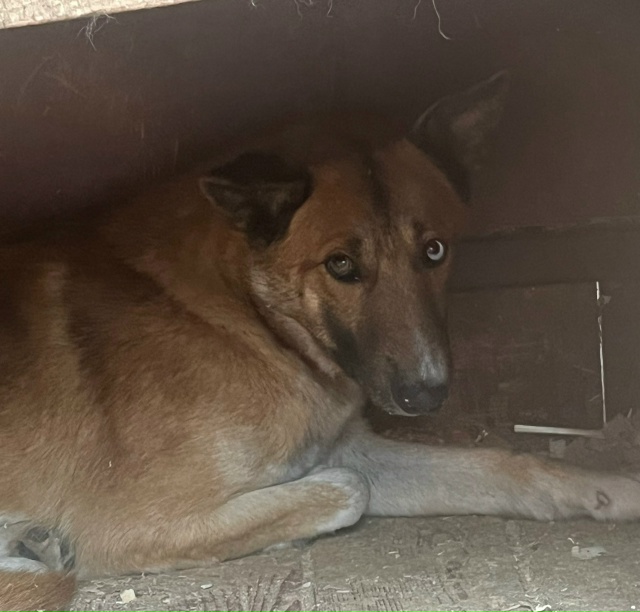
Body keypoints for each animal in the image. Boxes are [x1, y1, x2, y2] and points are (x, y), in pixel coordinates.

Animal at [2, 72, 640, 612]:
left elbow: (505, 466)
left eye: (434, 250)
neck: (245, 318)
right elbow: (347, 489)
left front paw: (610, 490)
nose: (426, 395)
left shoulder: (347, 445)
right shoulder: (126, 524)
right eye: (340, 265)